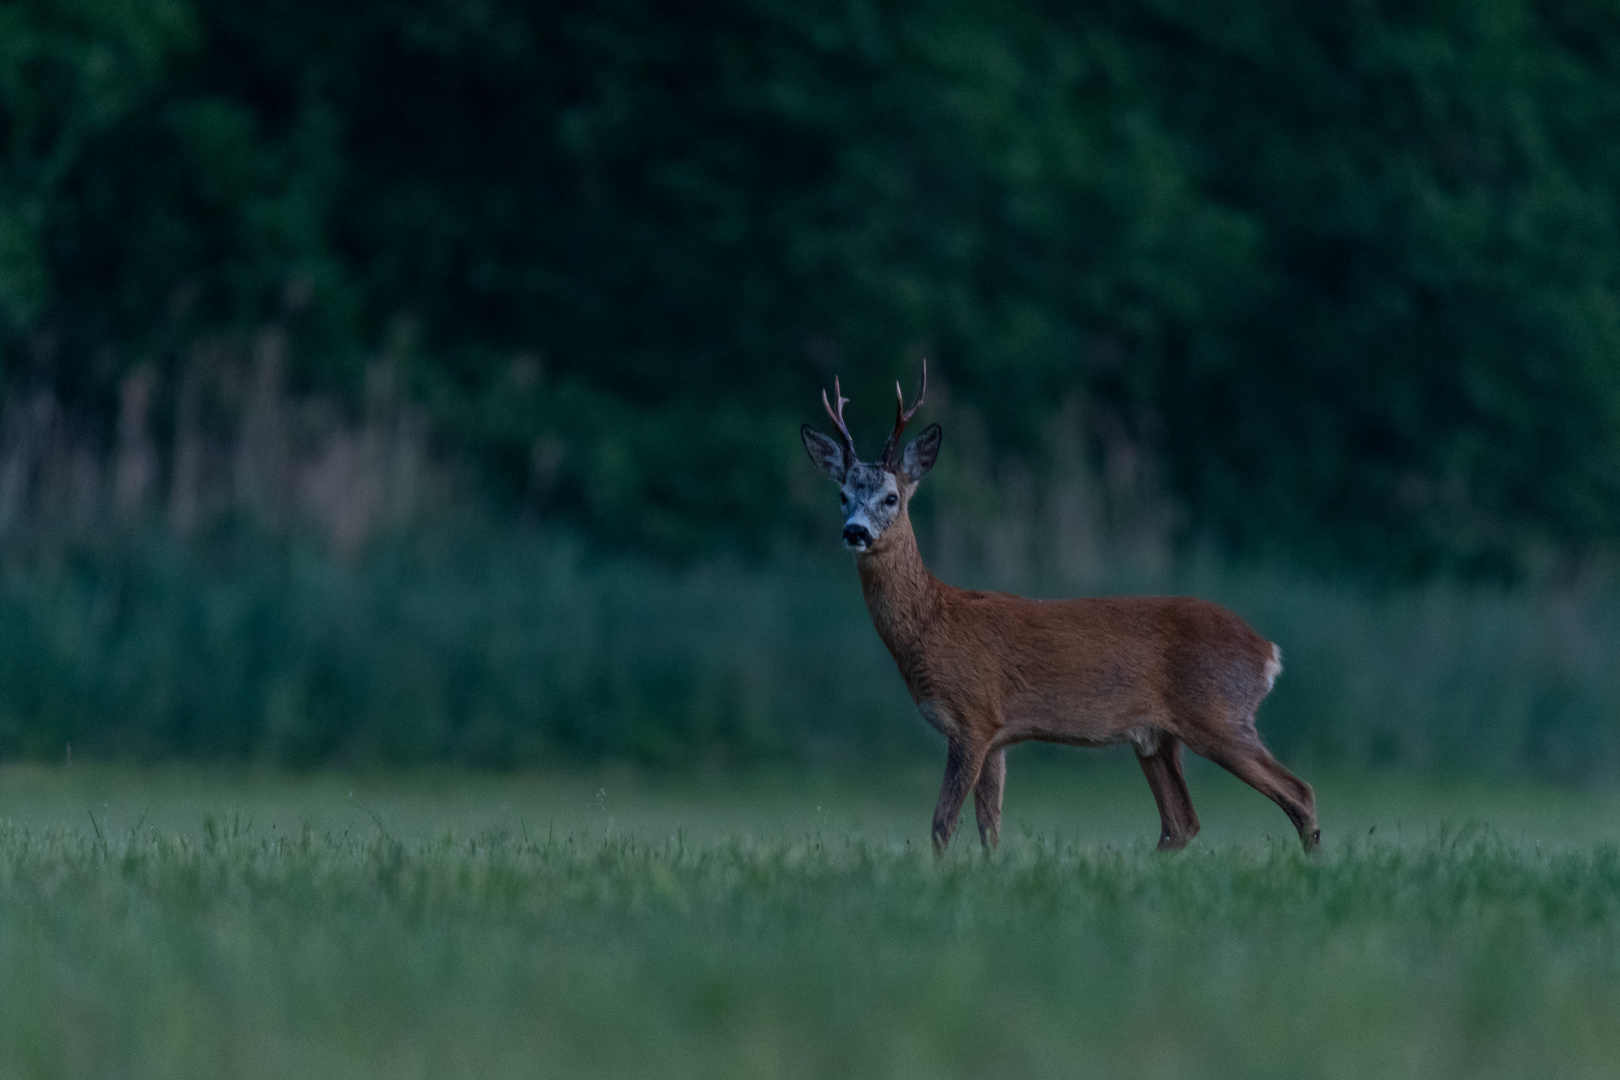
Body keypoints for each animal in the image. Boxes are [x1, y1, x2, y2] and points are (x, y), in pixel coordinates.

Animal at [797, 362, 1315, 854]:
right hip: (1156, 737)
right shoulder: (997, 736)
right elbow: (990, 828)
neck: (933, 622)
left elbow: (942, 825)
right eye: (842, 495)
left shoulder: (972, 715)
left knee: (1299, 792)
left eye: (891, 497)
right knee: (1181, 823)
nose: (854, 531)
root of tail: (1267, 652)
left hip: (1218, 712)